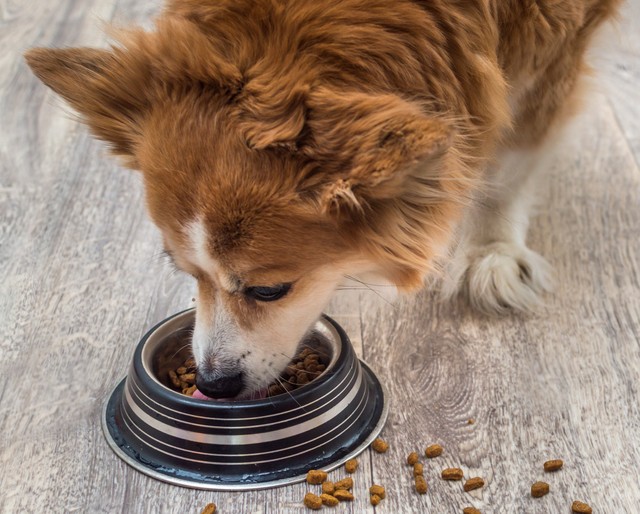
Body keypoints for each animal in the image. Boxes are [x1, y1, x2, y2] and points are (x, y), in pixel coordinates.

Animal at [25, 0, 620, 398]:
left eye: (269, 290)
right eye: (185, 273)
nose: (213, 384)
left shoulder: (559, 42)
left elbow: (515, 154)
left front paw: (492, 249)